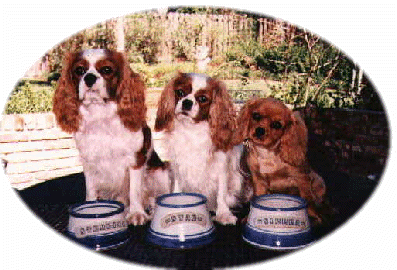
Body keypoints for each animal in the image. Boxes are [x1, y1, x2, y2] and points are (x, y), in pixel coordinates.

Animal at [52, 49, 170, 226]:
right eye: (79, 70)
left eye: (107, 70)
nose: (89, 77)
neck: (100, 114)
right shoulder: (89, 162)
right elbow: (91, 189)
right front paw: (89, 209)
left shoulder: (136, 160)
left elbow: (135, 190)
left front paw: (136, 213)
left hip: (161, 173)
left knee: (152, 196)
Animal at [154, 71, 241, 224]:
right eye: (180, 92)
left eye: (203, 98)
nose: (187, 102)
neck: (192, 129)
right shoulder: (178, 165)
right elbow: (177, 187)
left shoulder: (221, 165)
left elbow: (221, 193)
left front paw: (223, 213)